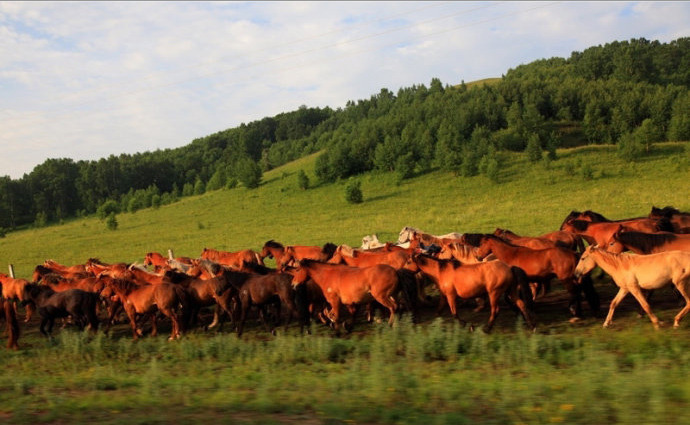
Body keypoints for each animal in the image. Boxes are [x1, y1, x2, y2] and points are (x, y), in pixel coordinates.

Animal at [404, 253, 532, 330]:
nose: (402, 271)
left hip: (494, 293)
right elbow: (439, 310)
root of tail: (509, 268)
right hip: (511, 291)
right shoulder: (444, 296)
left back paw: (487, 328)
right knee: (521, 304)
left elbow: (454, 312)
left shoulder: (451, 295)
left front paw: (465, 324)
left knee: (495, 310)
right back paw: (531, 325)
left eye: (409, 261)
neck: (441, 272)